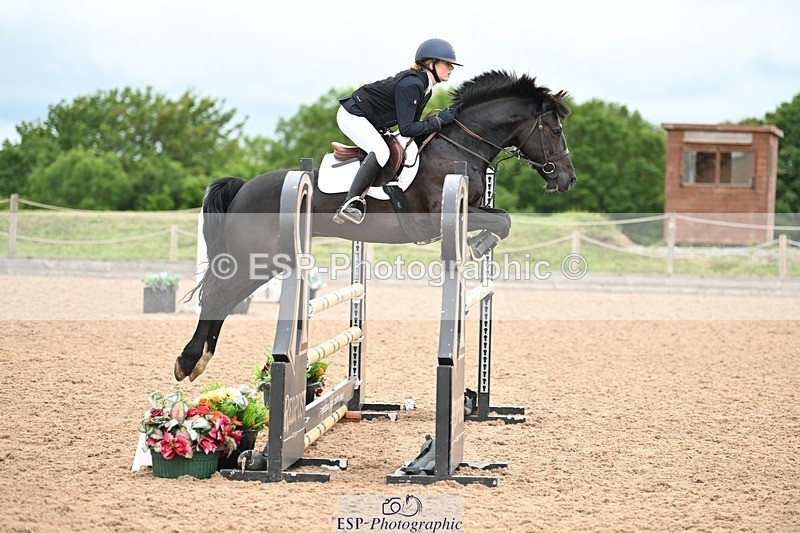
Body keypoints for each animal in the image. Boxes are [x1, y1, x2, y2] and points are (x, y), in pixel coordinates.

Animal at [175, 70, 577, 382]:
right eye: (554, 130)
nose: (568, 179)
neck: (459, 145)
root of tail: (243, 188)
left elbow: (502, 219)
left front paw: (478, 244)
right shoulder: (438, 216)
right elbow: (503, 220)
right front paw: (478, 245)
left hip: (266, 261)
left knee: (225, 298)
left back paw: (200, 360)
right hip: (255, 258)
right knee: (218, 295)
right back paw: (188, 361)